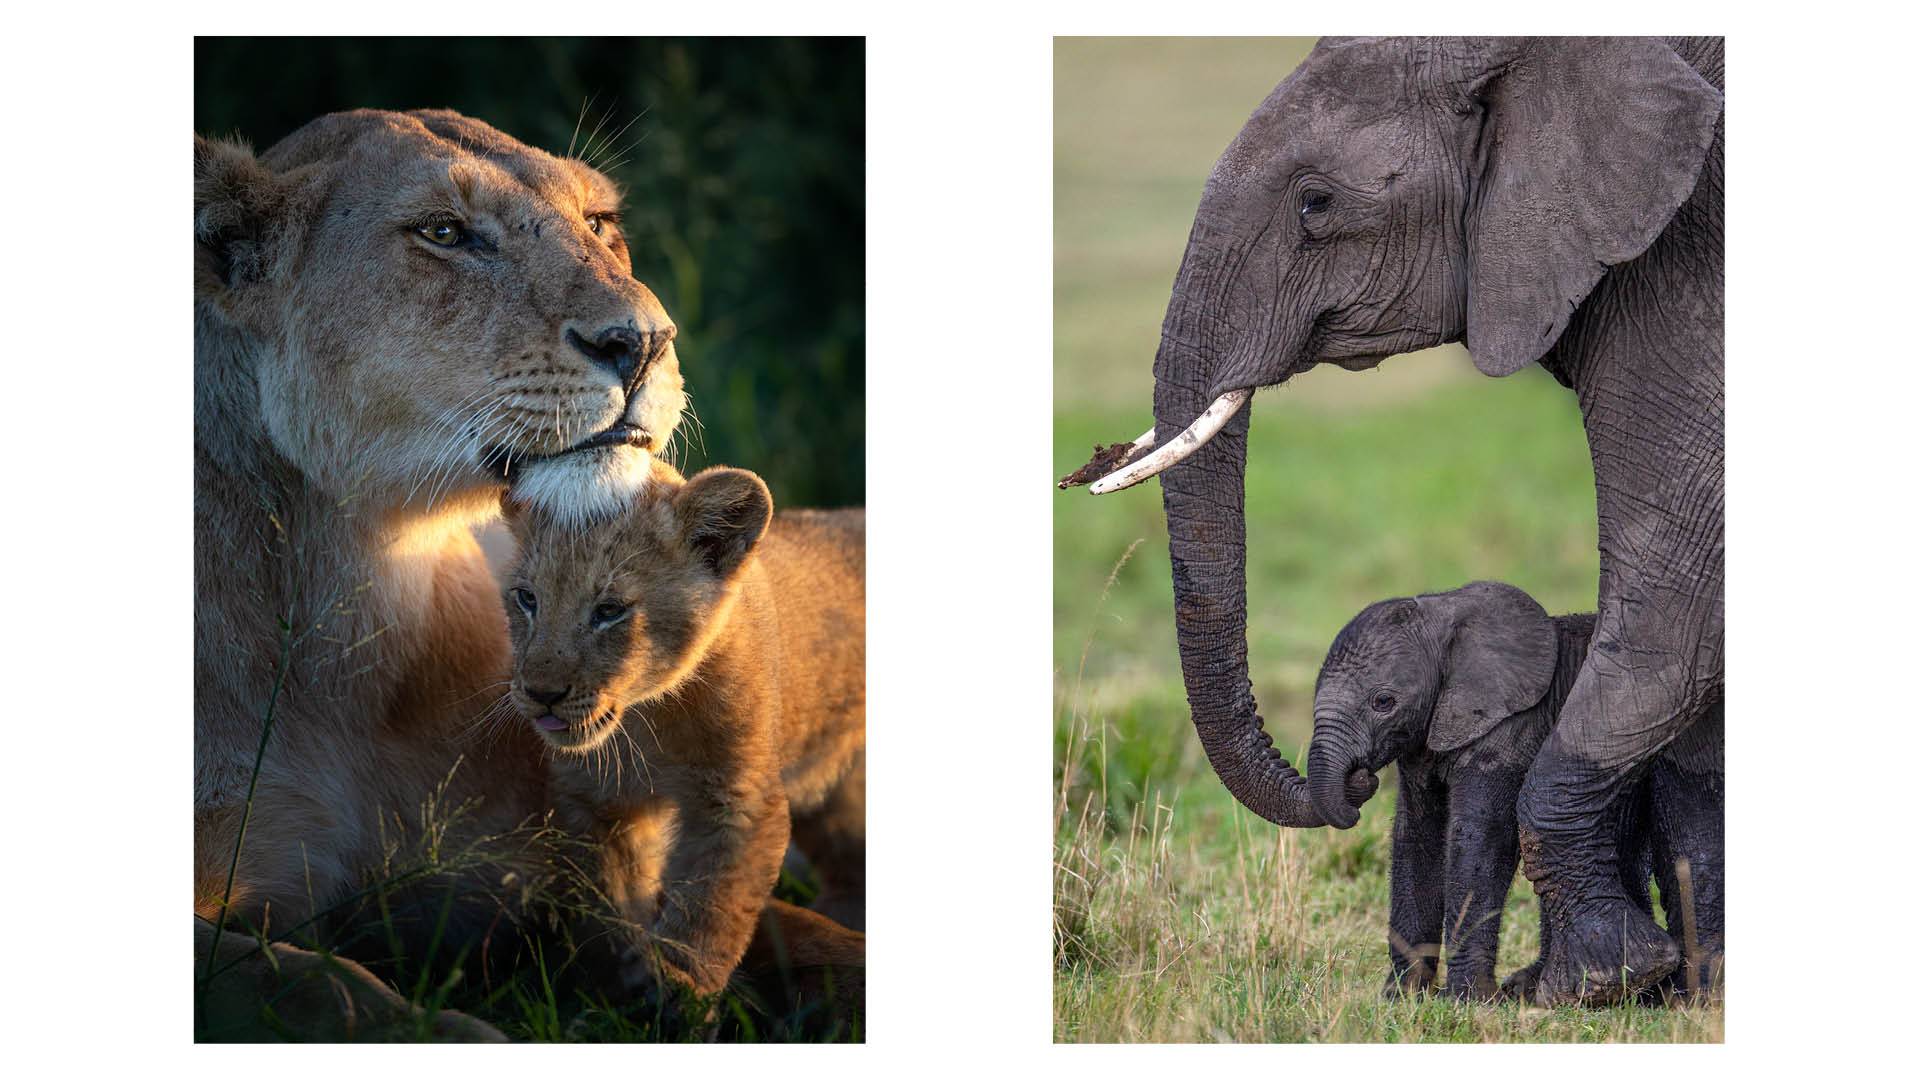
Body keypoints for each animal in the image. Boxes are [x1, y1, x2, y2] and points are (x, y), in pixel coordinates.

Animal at [499, 457, 866, 998]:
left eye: (609, 611)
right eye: (526, 599)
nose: (542, 693)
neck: (649, 720)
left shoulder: (738, 802)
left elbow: (709, 910)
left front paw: (680, 990)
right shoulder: (591, 801)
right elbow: (606, 905)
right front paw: (623, 982)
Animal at [1307, 582, 1723, 1001]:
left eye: (1383, 702)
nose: (1362, 780)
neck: (1444, 612)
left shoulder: (1512, 727)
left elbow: (1480, 836)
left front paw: (1467, 1000)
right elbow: (1416, 837)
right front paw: (1402, 999)